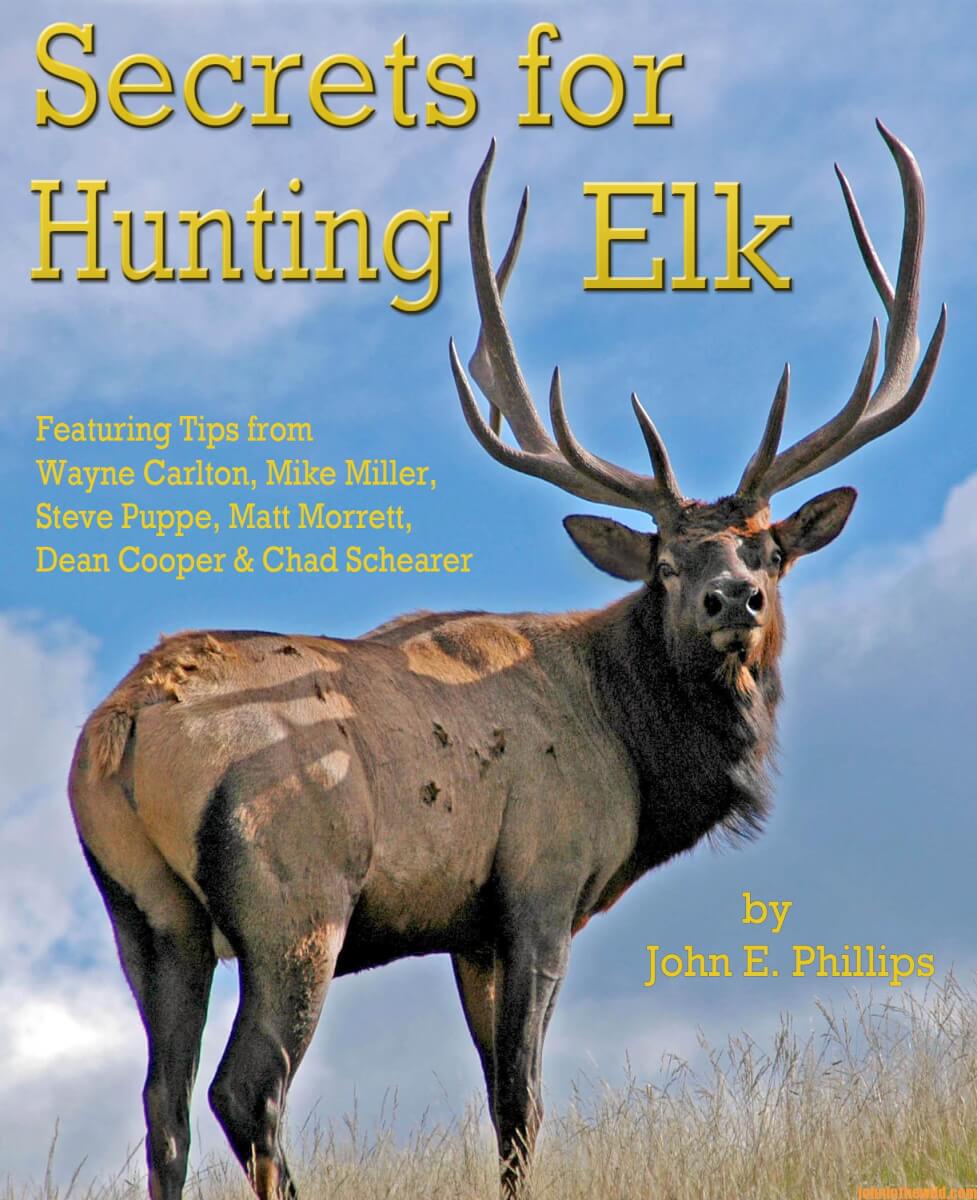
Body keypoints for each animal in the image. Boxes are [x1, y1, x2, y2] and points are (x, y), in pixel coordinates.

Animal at [69, 121, 945, 1200]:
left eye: (768, 551)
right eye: (663, 562)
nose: (730, 599)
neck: (637, 759)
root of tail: (120, 731)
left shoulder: (467, 930)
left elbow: (496, 1103)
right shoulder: (538, 885)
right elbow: (521, 1104)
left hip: (146, 919)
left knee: (164, 1107)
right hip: (295, 898)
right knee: (248, 1088)